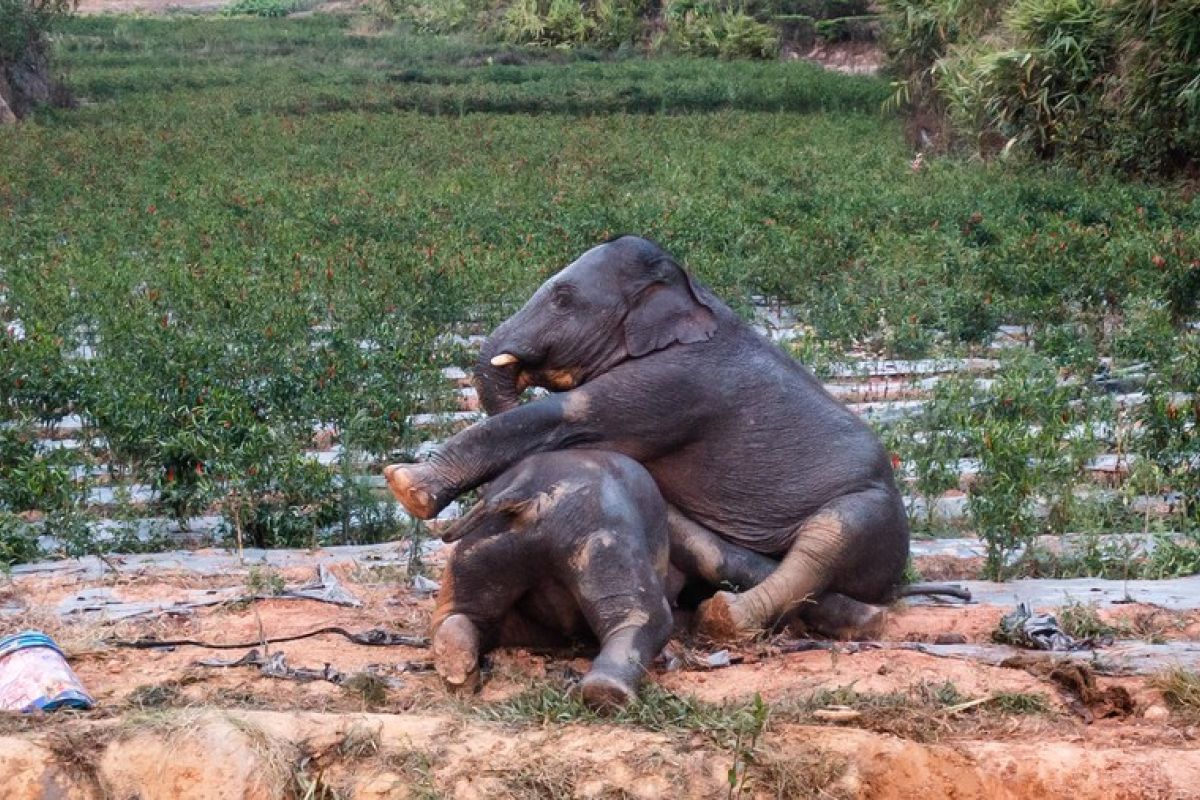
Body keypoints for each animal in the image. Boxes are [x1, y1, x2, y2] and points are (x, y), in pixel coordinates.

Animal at [384, 236, 964, 642]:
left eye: (564, 298)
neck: (691, 290)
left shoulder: (680, 384)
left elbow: (569, 416)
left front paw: (404, 483)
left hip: (874, 512)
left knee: (827, 542)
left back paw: (728, 619)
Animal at [429, 450, 676, 705]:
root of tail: (530, 493)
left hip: (481, 548)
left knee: (459, 615)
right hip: (606, 539)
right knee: (644, 616)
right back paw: (606, 693)